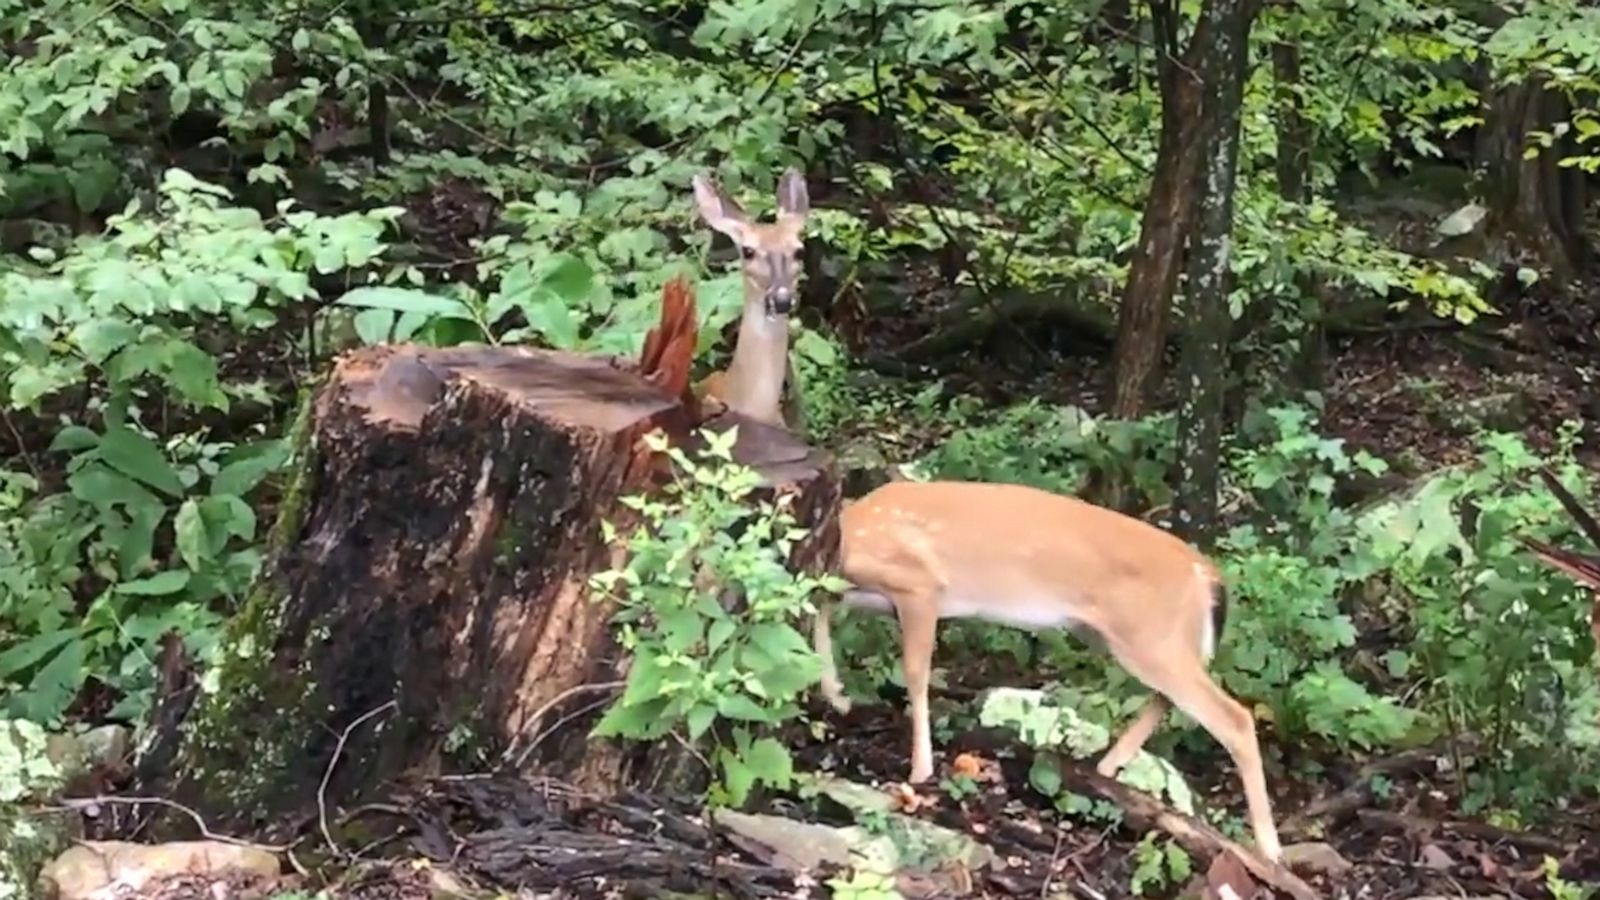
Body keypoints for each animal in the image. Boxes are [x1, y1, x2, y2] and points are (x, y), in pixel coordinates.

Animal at [812, 480, 1286, 858]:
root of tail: (1207, 574)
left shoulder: (921, 588)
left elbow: (914, 671)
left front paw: (919, 770)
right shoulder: (868, 593)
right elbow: (821, 605)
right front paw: (836, 694)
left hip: (1152, 638)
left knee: (1234, 716)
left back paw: (1270, 849)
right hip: (1128, 637)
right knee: (1175, 700)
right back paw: (1107, 767)